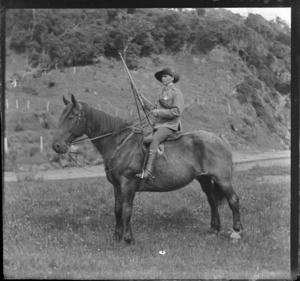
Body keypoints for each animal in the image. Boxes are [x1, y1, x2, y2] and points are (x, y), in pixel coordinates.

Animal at [52, 93, 244, 243]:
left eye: (71, 117)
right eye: (60, 117)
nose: (56, 145)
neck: (120, 143)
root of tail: (219, 137)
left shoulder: (128, 183)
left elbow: (127, 210)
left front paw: (128, 238)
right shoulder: (117, 186)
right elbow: (117, 210)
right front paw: (116, 237)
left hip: (222, 179)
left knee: (233, 200)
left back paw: (236, 232)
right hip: (204, 178)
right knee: (212, 200)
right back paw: (214, 229)